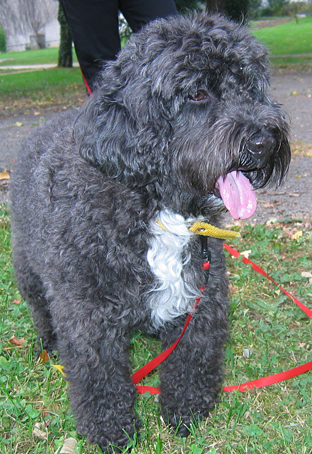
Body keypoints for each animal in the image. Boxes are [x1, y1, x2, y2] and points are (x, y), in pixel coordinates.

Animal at [11, 12, 292, 452]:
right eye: (196, 93)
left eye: (249, 86)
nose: (264, 139)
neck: (153, 203)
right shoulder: (88, 315)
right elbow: (100, 379)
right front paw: (112, 431)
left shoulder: (201, 298)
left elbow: (190, 362)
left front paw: (186, 412)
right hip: (30, 269)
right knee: (41, 309)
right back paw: (48, 343)